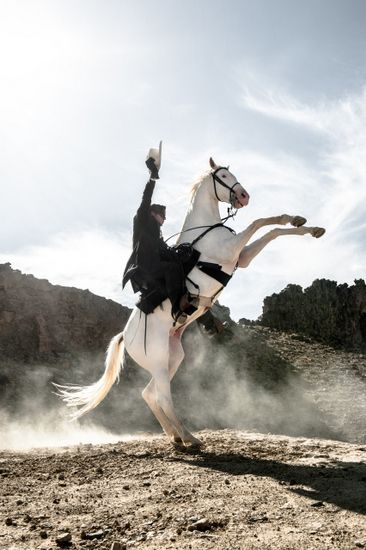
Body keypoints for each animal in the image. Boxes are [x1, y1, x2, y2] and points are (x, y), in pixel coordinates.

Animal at [58, 158, 326, 448]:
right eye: (223, 176)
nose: (244, 196)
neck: (207, 230)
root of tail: (124, 336)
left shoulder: (241, 257)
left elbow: (274, 229)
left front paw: (307, 225)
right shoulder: (232, 250)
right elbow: (259, 222)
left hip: (172, 357)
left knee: (148, 393)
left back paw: (175, 435)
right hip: (159, 360)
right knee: (163, 396)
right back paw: (189, 437)